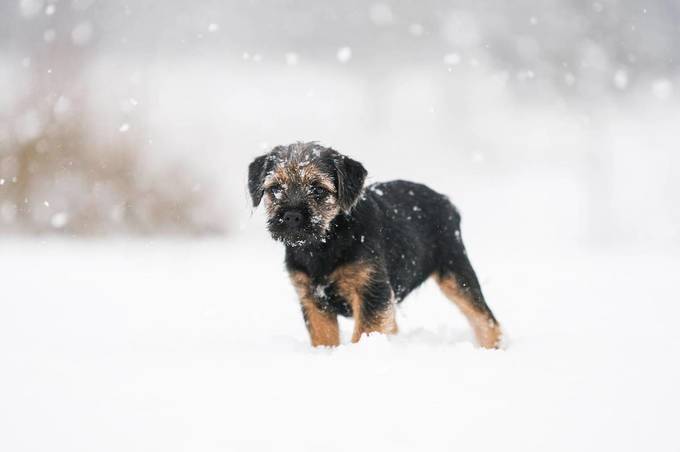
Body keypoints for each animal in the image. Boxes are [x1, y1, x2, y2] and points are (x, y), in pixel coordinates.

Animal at [247, 143, 502, 348]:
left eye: (318, 189)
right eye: (275, 188)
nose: (291, 216)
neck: (324, 244)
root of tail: (446, 201)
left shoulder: (371, 290)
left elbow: (366, 331)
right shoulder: (313, 299)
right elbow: (324, 337)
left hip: (455, 270)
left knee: (484, 318)